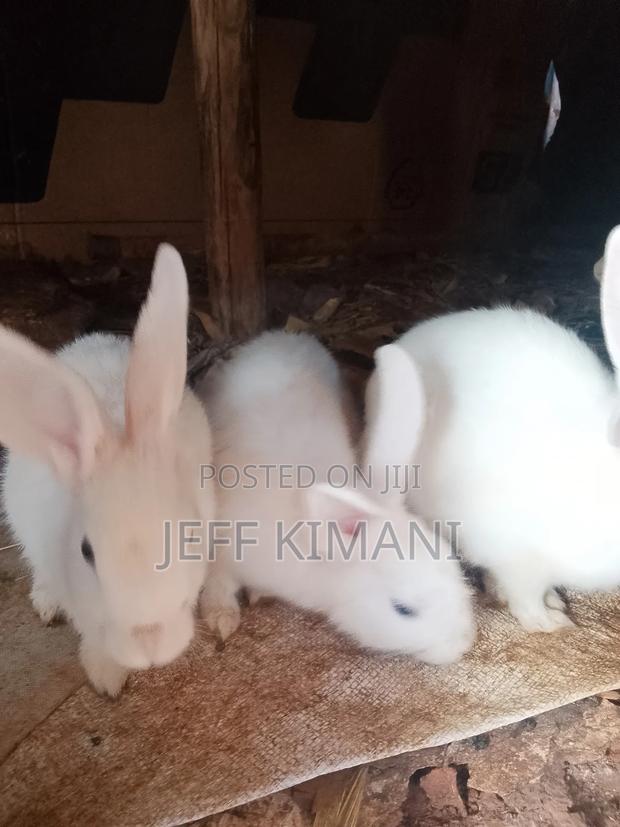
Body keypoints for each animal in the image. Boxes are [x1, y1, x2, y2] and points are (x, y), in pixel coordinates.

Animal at [196, 330, 475, 664]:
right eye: (403, 609)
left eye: (456, 568)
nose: (461, 645)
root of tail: (284, 336)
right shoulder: (222, 544)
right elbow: (217, 581)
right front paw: (221, 618)